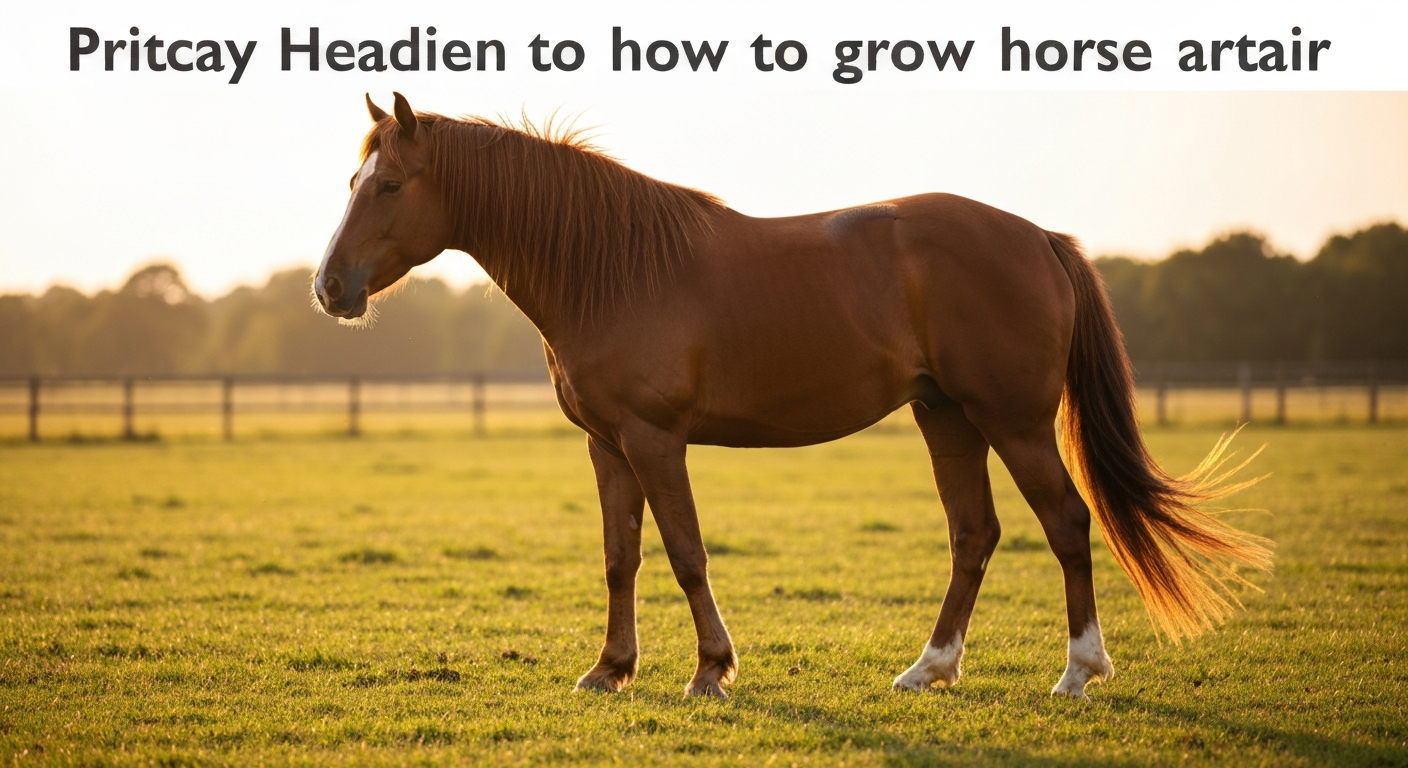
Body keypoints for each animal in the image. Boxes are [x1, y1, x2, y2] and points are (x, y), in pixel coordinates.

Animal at [314, 93, 1273, 699]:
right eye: (352, 184)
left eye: (389, 185)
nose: (329, 289)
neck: (612, 269)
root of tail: (1037, 235)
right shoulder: (605, 443)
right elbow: (622, 558)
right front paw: (610, 670)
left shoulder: (655, 440)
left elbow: (686, 553)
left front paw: (710, 670)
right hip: (947, 417)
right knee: (974, 535)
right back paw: (931, 668)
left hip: (1016, 421)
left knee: (1067, 524)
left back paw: (1078, 671)